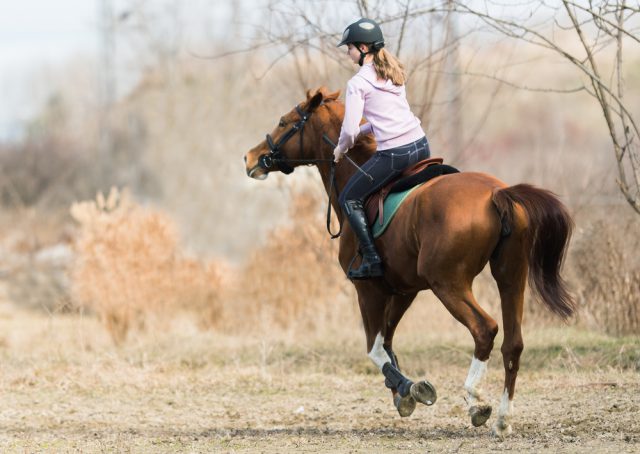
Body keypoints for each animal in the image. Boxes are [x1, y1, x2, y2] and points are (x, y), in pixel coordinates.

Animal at [244, 86, 576, 436]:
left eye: (284, 122)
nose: (250, 158)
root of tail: (497, 193)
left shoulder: (369, 290)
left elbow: (375, 348)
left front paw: (409, 388)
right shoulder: (404, 290)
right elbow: (388, 343)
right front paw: (401, 393)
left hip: (449, 284)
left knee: (484, 329)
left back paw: (476, 402)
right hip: (511, 277)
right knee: (513, 344)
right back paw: (502, 419)